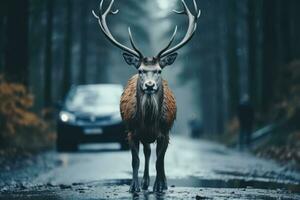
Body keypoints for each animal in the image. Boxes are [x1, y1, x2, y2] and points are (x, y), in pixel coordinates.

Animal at [92, 0, 200, 193]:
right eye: (141, 70)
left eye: (159, 70)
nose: (150, 85)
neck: (149, 121)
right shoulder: (131, 132)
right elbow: (135, 161)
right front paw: (133, 186)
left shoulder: (164, 133)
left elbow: (160, 161)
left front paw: (159, 186)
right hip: (143, 137)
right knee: (147, 152)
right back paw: (144, 182)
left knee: (157, 157)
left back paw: (161, 183)